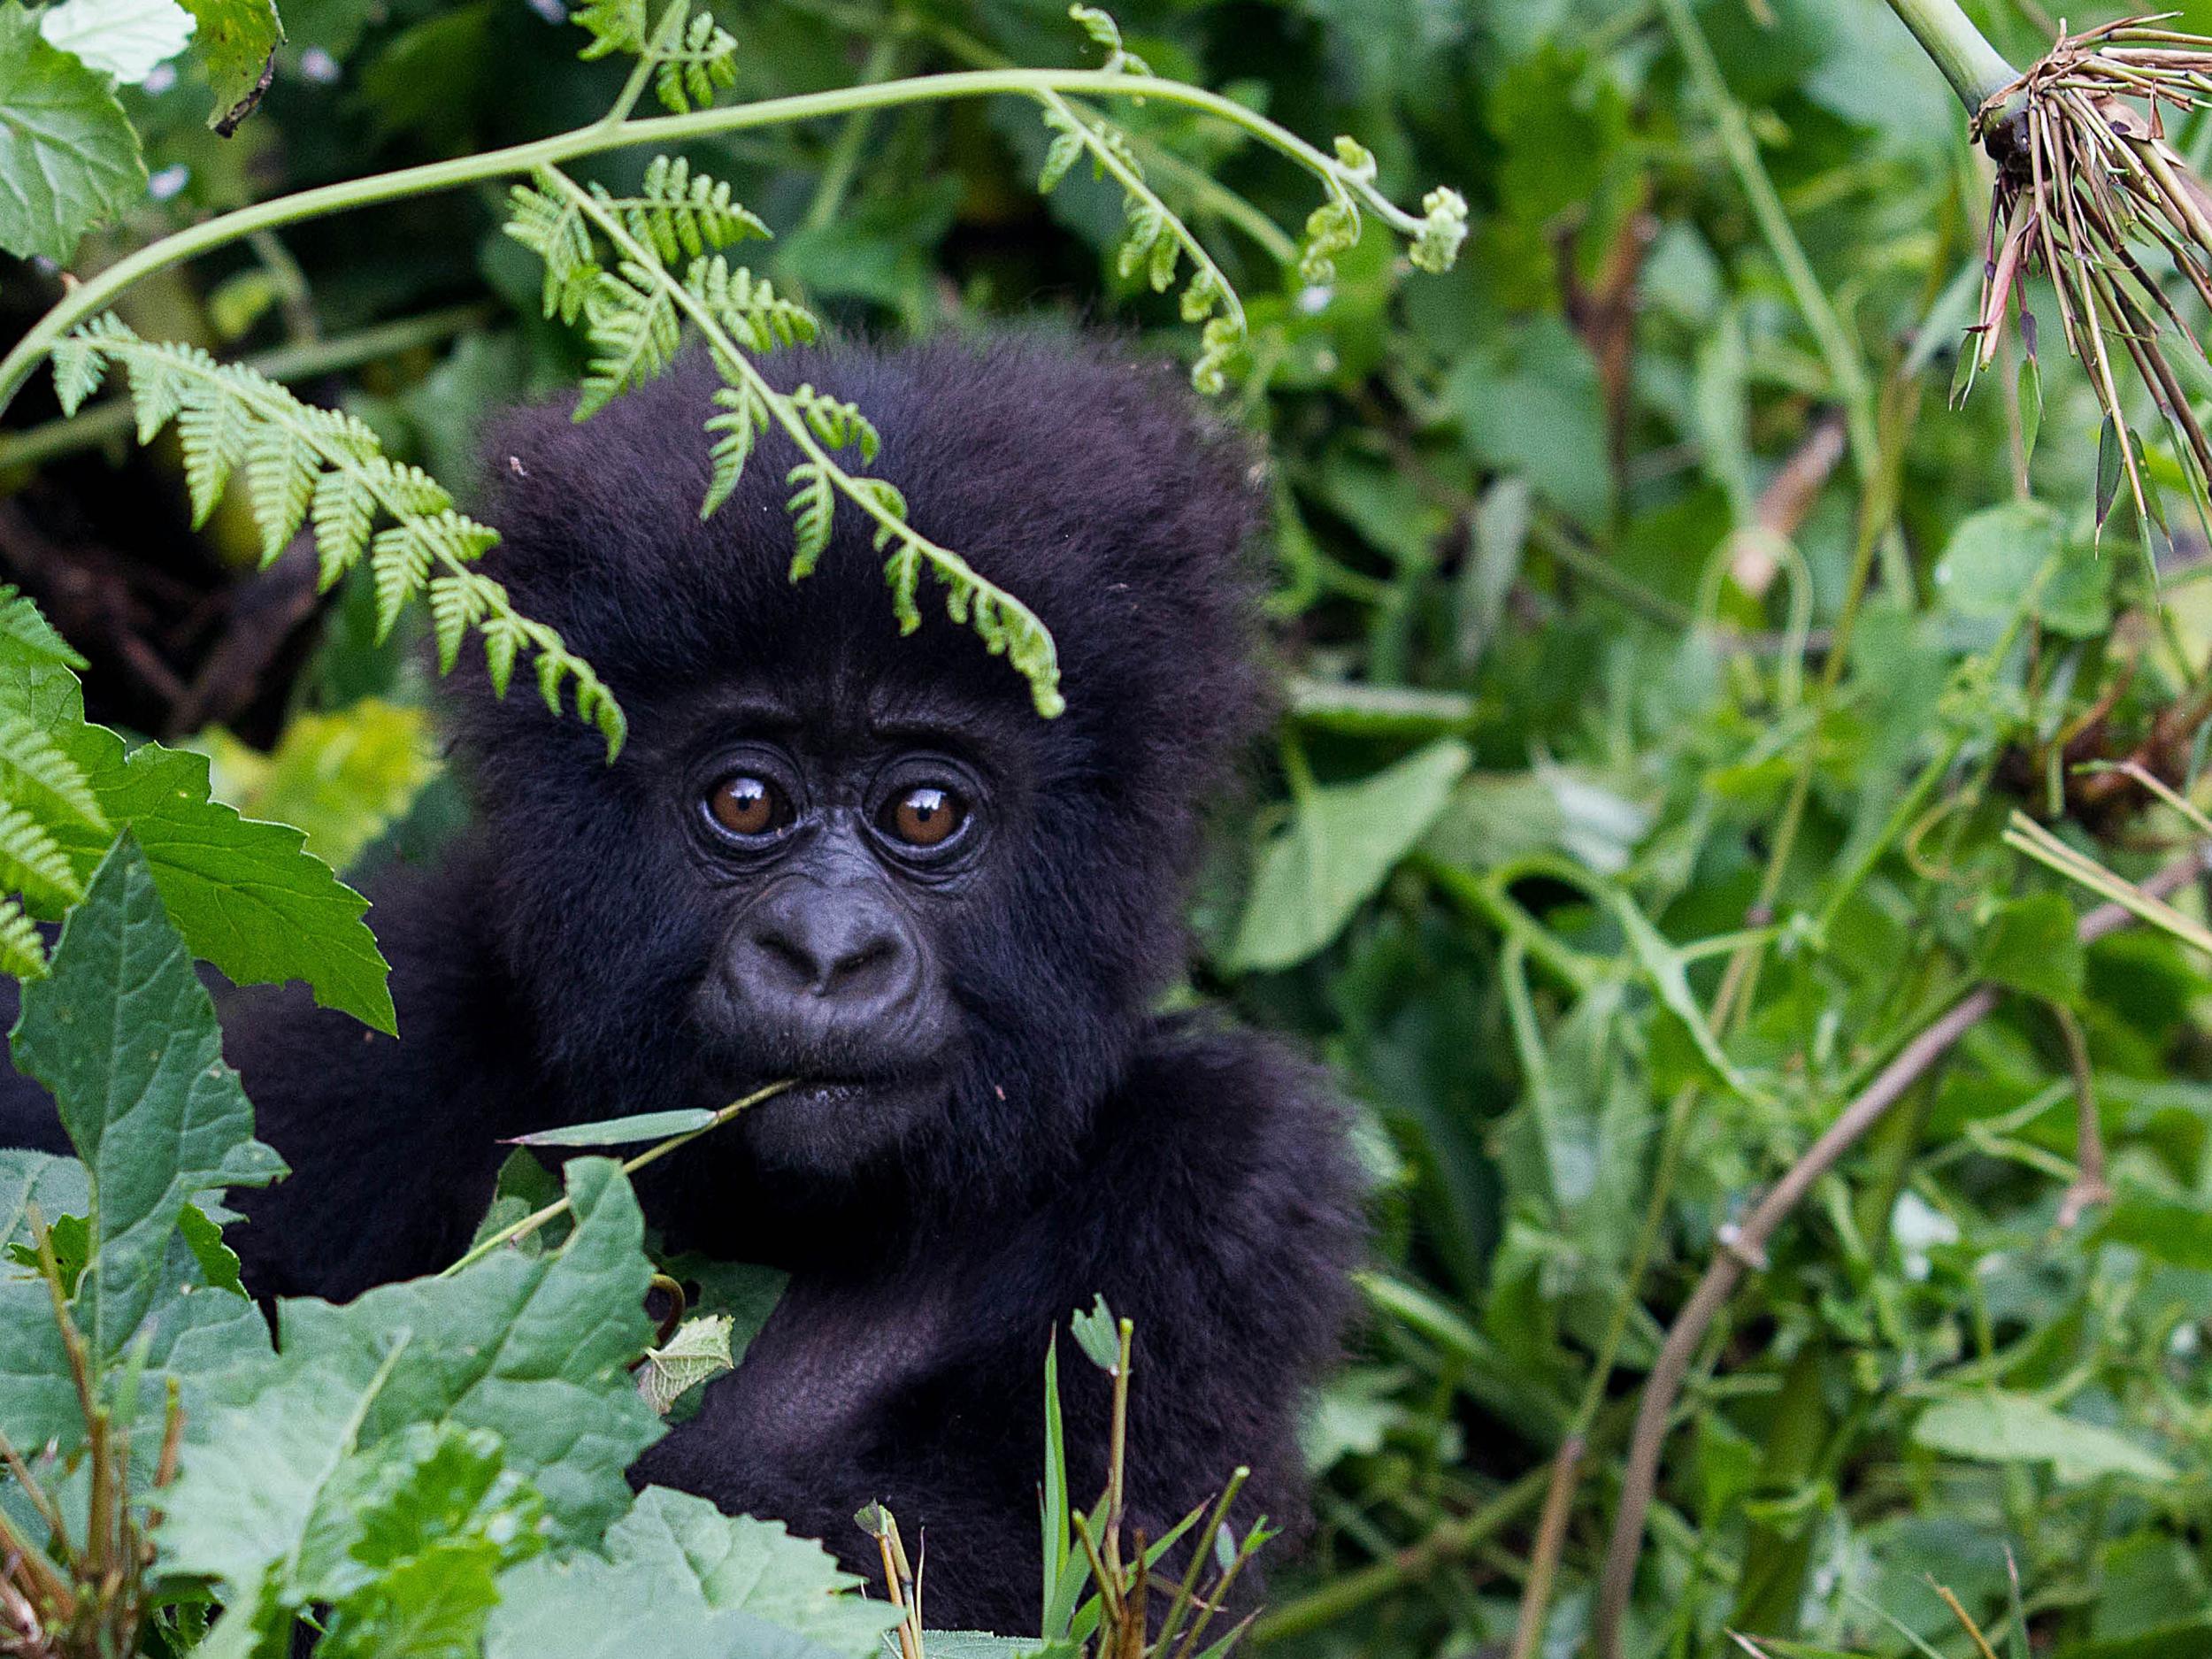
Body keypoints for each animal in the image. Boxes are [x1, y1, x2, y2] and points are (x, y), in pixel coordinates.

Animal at [0, 338, 1354, 1637]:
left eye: (926, 809)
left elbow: (1048, 1574)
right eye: (745, 800)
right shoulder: (388, 1020)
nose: (825, 951)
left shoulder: (1233, 1180)